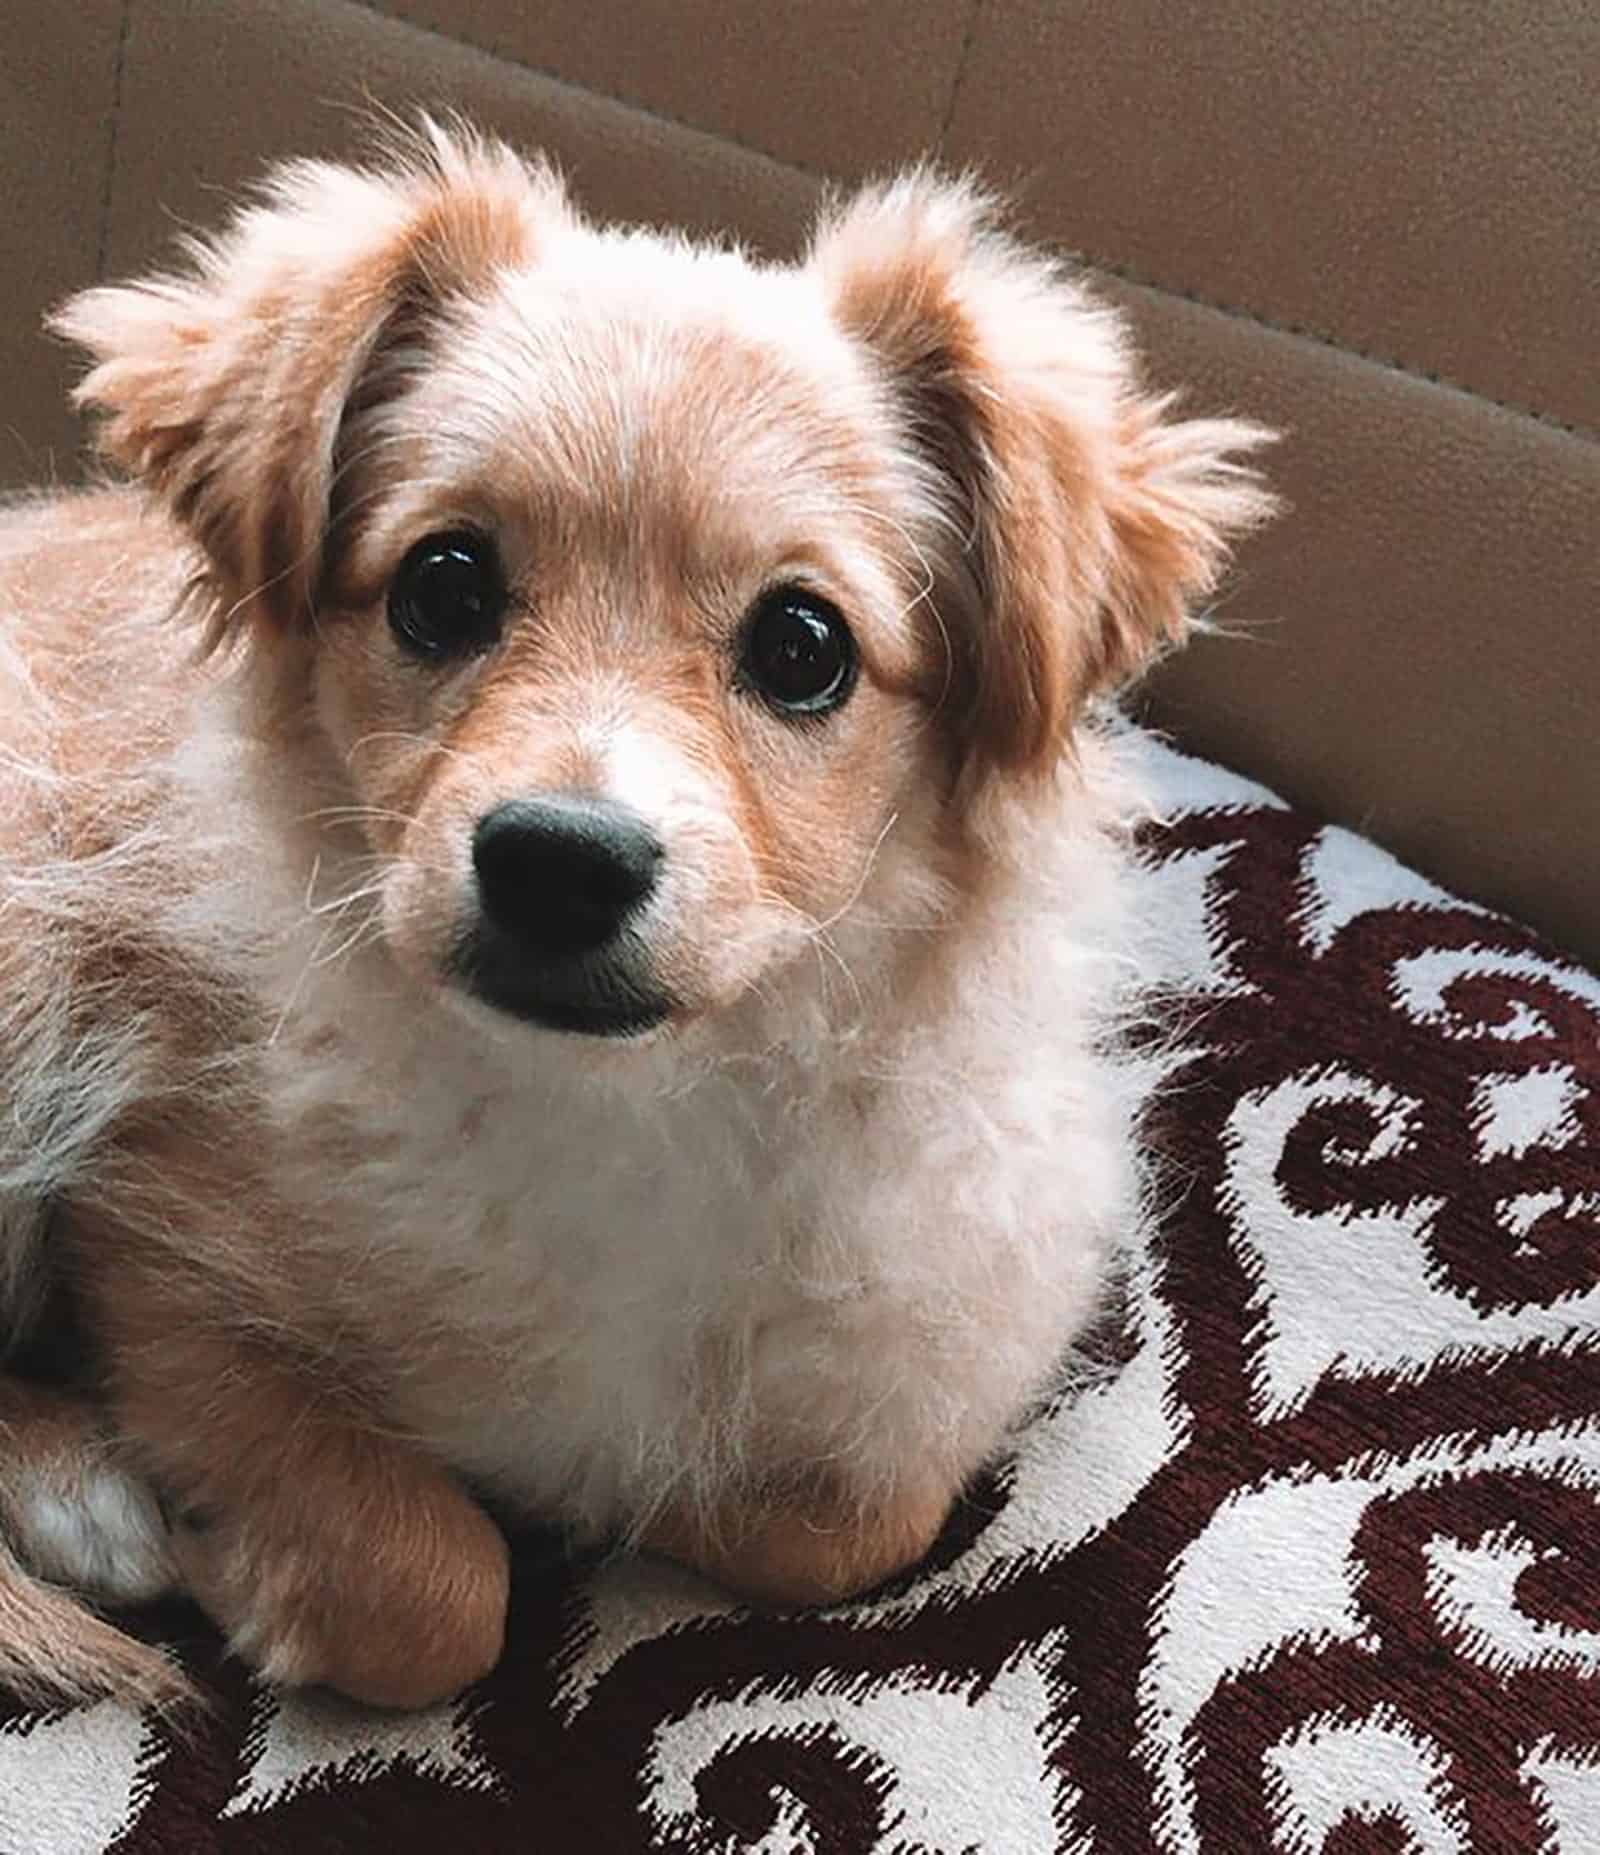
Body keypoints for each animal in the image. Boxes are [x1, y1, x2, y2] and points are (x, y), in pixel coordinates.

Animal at [0, 119, 1275, 1706]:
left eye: (803, 646)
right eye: (443, 584)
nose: (559, 860)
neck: (626, 1097)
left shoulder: (938, 1335)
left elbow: (851, 1523)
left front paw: (663, 1497)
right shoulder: (152, 1243)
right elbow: (434, 1589)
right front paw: (254, 1557)